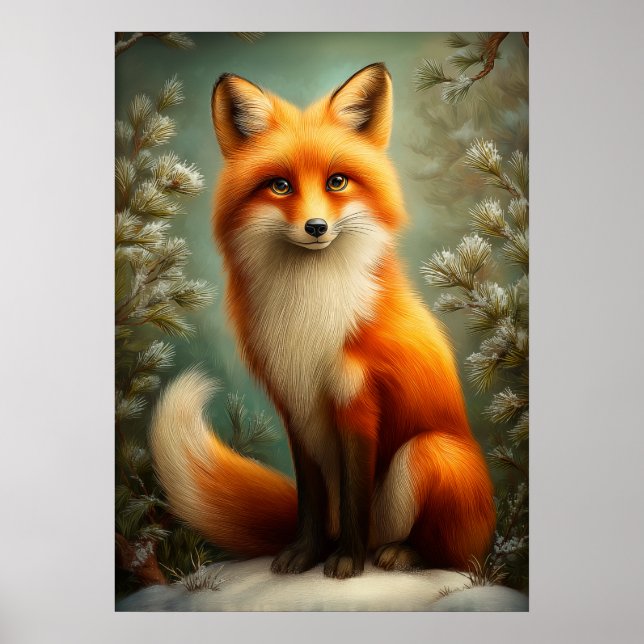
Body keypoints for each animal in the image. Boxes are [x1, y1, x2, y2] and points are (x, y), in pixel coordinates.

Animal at [150, 62, 496, 579]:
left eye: (336, 182)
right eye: (280, 185)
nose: (316, 228)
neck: (307, 311)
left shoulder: (357, 399)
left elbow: (354, 496)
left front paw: (347, 562)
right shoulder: (295, 404)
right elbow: (310, 500)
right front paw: (305, 554)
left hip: (429, 452)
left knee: (453, 556)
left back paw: (399, 554)